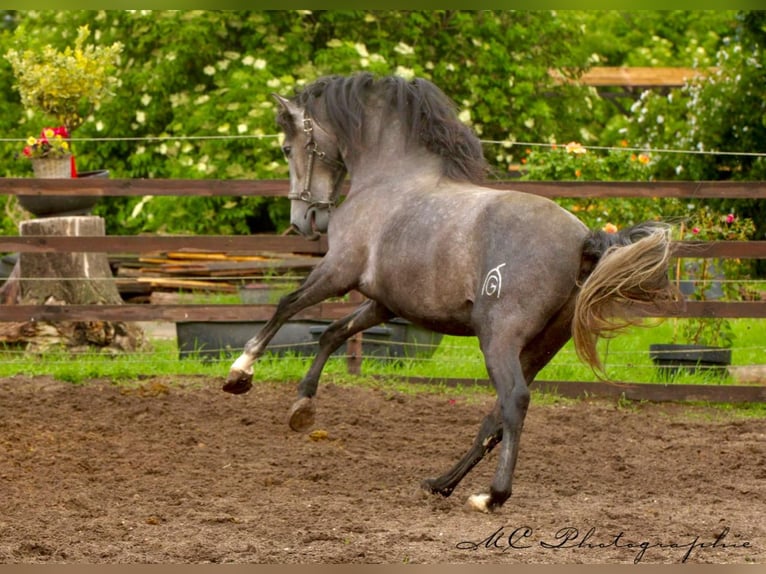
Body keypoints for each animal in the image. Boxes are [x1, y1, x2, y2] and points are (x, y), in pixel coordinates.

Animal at [223, 72, 681, 513]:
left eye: (288, 147)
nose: (304, 220)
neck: (390, 178)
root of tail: (583, 238)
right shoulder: (383, 304)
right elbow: (333, 333)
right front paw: (302, 407)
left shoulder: (339, 271)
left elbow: (287, 305)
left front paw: (240, 373)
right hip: (541, 346)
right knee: (495, 418)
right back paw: (443, 483)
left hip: (499, 338)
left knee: (513, 402)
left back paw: (492, 496)